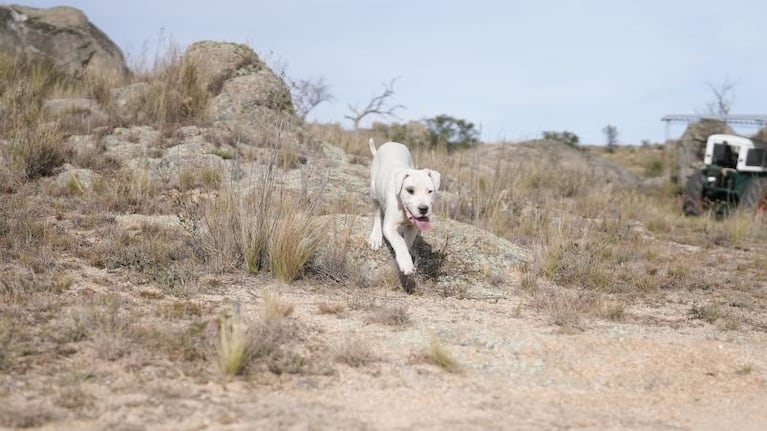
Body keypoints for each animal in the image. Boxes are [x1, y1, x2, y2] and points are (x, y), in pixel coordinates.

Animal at [368, 140, 440, 276]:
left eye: (430, 191)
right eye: (410, 190)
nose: (424, 209)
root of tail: (392, 142)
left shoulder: (413, 227)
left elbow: (407, 242)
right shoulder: (389, 226)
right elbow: (399, 242)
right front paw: (405, 263)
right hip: (374, 192)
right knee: (377, 214)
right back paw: (376, 237)